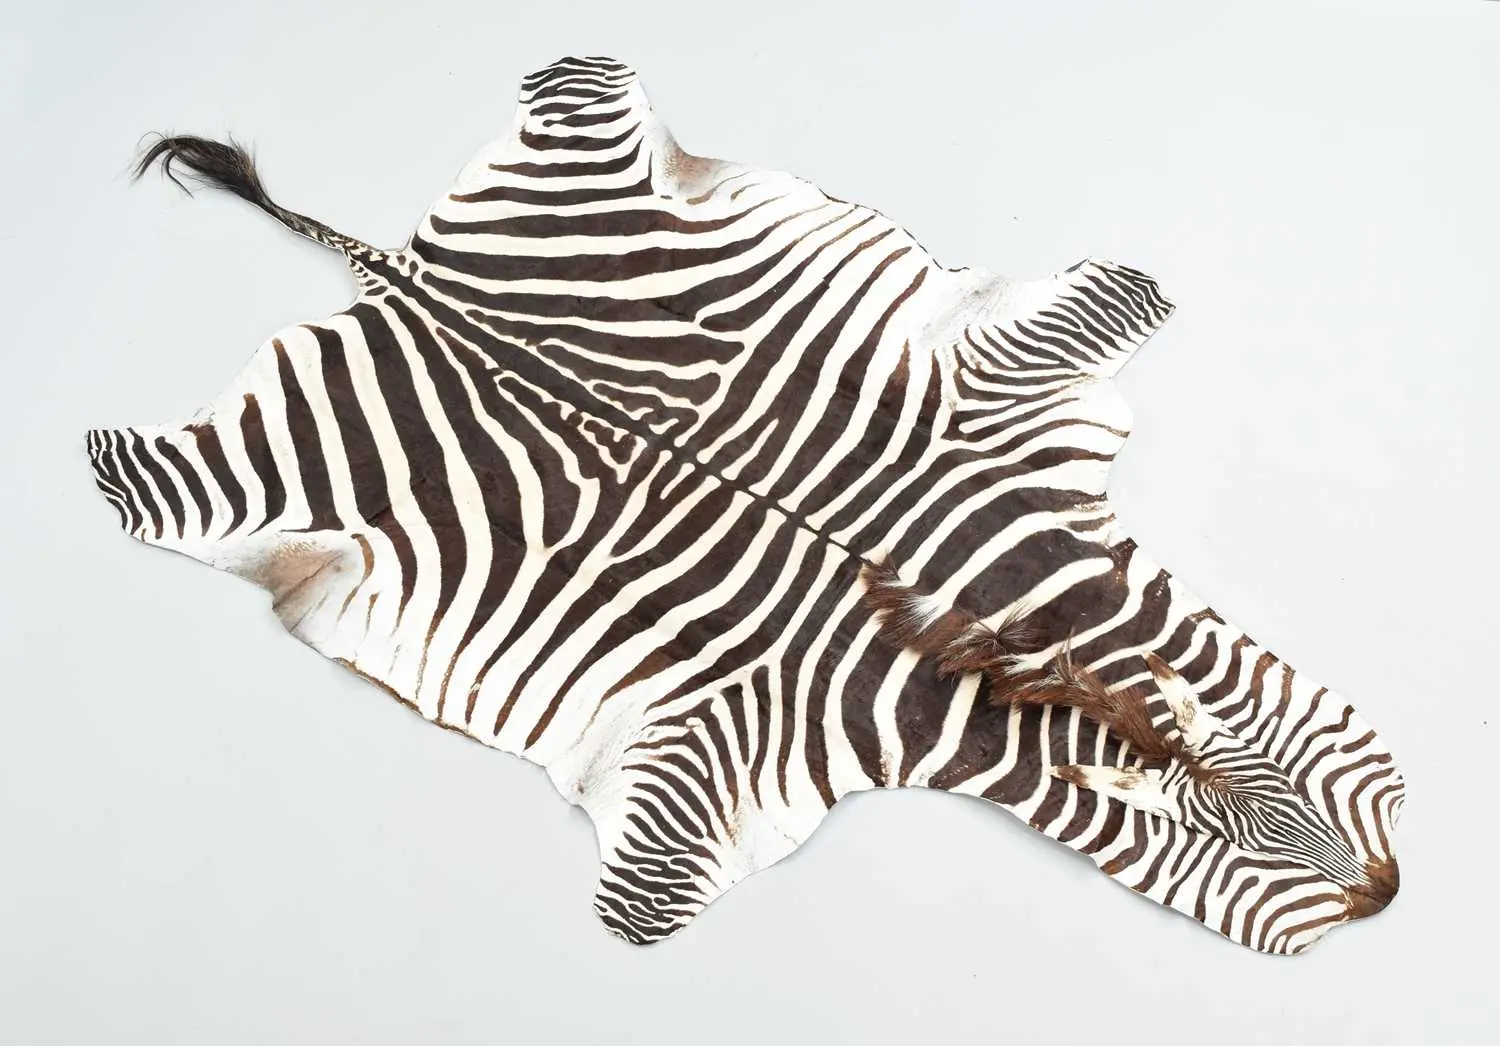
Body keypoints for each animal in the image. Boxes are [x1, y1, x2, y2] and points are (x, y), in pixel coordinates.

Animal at [86, 56, 1401, 954]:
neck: (990, 643)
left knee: (583, 85)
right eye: (1205, 845)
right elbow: (651, 888)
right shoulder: (723, 736)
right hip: (230, 484)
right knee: (146, 483)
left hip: (594, 164)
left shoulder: (1006, 395)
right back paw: (116, 455)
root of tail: (414, 275)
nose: (1385, 894)